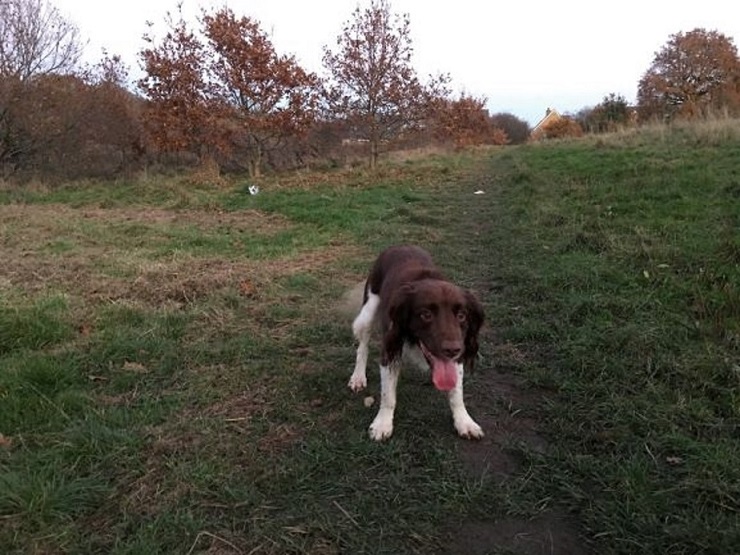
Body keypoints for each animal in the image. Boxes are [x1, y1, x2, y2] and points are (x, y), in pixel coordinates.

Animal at [348, 245, 486, 440]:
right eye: (425, 314)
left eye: (462, 315)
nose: (453, 350)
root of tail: (399, 245)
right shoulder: (391, 347)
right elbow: (388, 395)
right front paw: (382, 423)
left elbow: (456, 393)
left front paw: (464, 421)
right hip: (368, 311)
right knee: (362, 347)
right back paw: (358, 377)